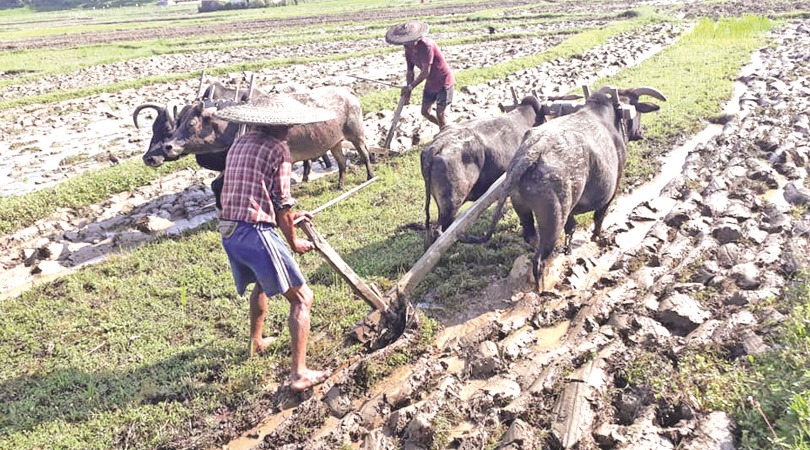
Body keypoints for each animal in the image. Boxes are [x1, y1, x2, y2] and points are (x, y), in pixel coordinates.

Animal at [474, 85, 664, 290]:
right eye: (638, 111)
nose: (640, 132)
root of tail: (530, 153)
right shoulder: (613, 188)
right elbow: (599, 218)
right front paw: (598, 238)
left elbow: (571, 228)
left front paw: (568, 250)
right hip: (553, 219)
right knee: (539, 260)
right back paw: (542, 289)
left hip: (523, 209)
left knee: (532, 239)